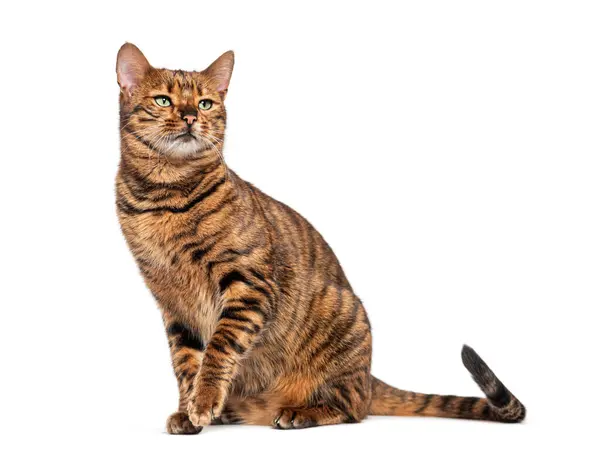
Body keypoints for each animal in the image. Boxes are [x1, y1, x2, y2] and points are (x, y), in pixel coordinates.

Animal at [113, 43, 524, 436]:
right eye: (163, 100)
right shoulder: (174, 304)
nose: (190, 116)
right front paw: (189, 411)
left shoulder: (248, 283)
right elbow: (186, 363)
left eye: (205, 103)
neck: (163, 195)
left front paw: (204, 400)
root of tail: (370, 377)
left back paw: (299, 412)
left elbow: (218, 349)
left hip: (341, 316)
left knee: (353, 407)